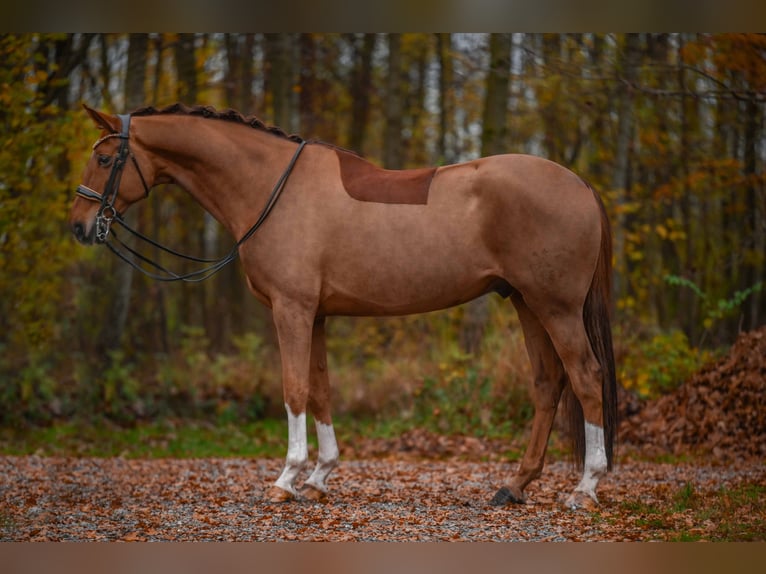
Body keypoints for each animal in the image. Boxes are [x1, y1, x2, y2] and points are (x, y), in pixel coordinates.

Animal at [67, 103, 616, 508]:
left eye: (104, 159)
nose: (79, 225)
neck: (271, 189)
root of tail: (581, 185)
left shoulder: (290, 309)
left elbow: (293, 389)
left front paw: (286, 480)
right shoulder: (316, 315)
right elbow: (320, 390)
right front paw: (318, 478)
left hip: (555, 306)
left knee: (586, 377)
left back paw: (585, 488)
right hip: (526, 302)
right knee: (548, 383)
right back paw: (515, 486)